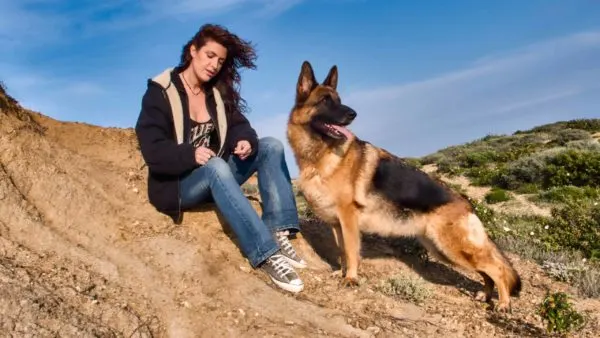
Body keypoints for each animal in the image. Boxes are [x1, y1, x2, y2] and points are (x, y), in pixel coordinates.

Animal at [286, 61, 520, 312]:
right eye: (325, 101)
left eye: (338, 100)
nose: (353, 114)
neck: (322, 153)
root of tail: (467, 204)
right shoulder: (337, 224)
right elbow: (342, 251)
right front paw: (341, 273)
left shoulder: (348, 220)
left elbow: (350, 250)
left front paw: (350, 278)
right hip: (443, 249)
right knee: (486, 271)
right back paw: (486, 294)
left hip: (452, 248)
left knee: (497, 268)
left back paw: (503, 303)